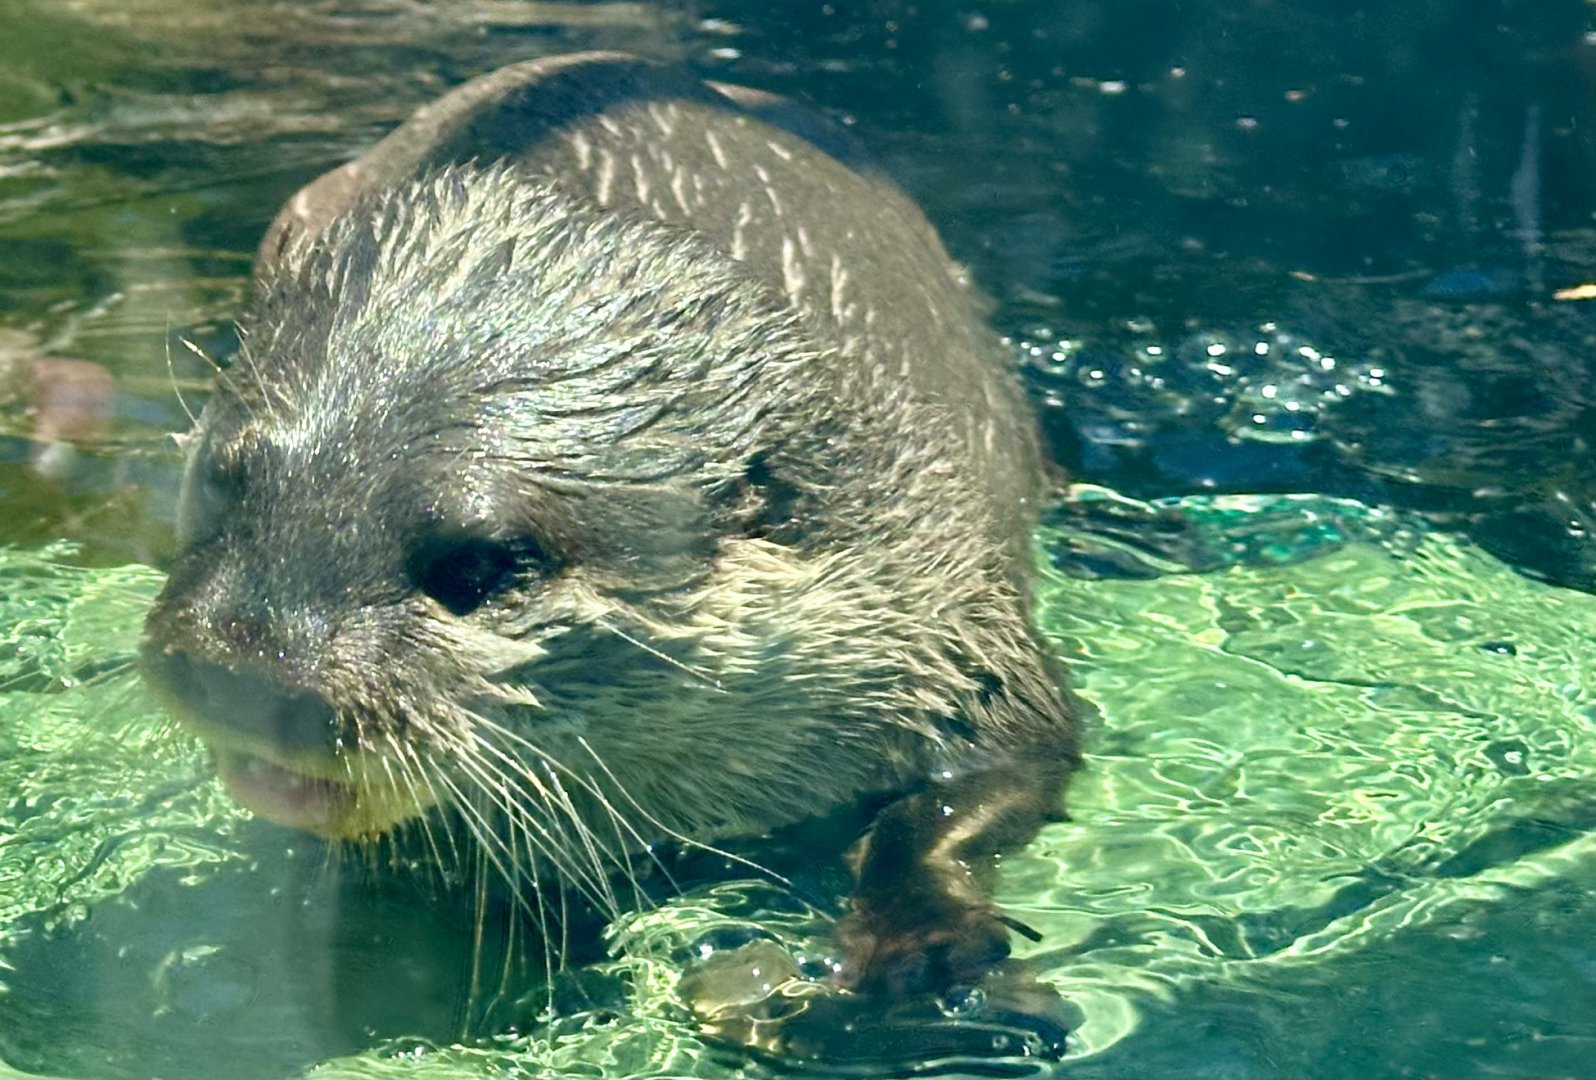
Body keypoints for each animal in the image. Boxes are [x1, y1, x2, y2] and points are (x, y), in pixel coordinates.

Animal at [141, 52, 1080, 999]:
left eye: (479, 564)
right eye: (225, 479)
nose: (243, 668)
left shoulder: (962, 633)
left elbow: (974, 798)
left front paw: (920, 944)